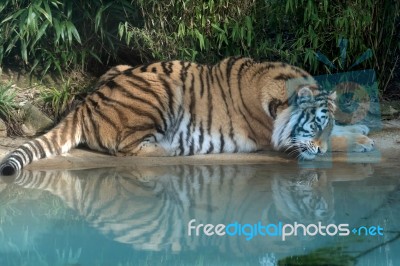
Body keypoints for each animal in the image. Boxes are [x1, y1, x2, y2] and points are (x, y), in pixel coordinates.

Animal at [0, 57, 376, 176]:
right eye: (314, 125)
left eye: (325, 124)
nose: (320, 152)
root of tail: (85, 103)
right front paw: (359, 141)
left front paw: (360, 130)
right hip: (160, 90)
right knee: (126, 148)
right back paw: (171, 148)